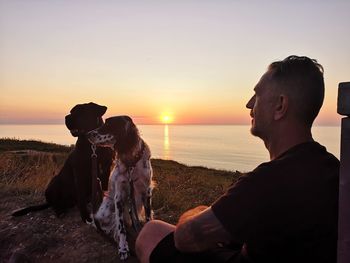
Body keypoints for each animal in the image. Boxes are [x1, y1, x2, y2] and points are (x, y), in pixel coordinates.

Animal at [87, 116, 152, 260]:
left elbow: (149, 216)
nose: (87, 134)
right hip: (106, 211)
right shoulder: (119, 196)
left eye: (108, 125)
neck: (131, 162)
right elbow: (121, 227)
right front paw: (123, 248)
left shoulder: (146, 191)